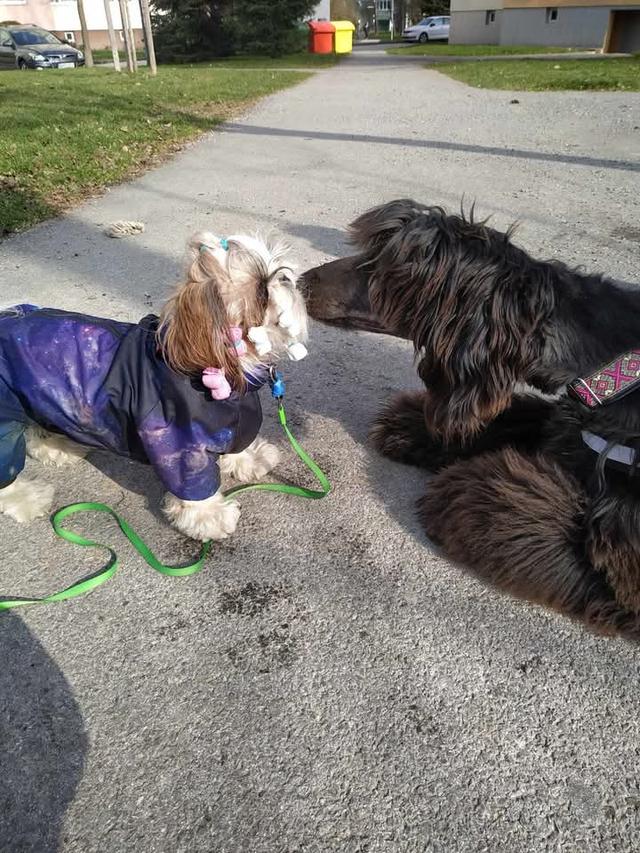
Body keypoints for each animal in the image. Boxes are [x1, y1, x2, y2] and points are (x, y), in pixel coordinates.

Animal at [0, 233, 308, 540]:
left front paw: (250, 459)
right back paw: (27, 498)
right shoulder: (180, 445)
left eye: (277, 265)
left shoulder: (233, 420)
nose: (285, 276)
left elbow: (238, 444)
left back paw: (57, 448)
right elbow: (194, 488)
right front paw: (210, 516)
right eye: (261, 291)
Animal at [302, 198, 640, 640]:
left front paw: (467, 493)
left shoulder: (626, 565)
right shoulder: (561, 421)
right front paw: (413, 429)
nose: (301, 281)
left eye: (384, 266)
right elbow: (519, 416)